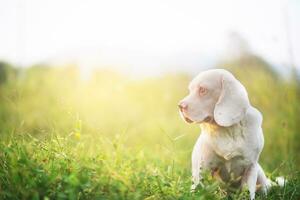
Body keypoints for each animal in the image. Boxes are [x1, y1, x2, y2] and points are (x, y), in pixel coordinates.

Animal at [179, 69, 270, 200]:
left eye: (203, 90)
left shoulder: (251, 167)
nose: (180, 106)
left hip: (261, 177)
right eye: (190, 90)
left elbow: (248, 192)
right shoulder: (204, 169)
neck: (227, 131)